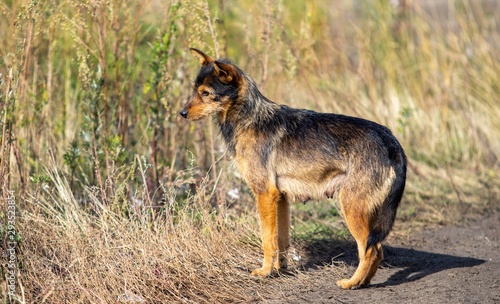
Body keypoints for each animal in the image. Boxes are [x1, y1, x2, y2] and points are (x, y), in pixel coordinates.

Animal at [180, 48, 406, 290]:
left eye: (206, 93)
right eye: (194, 91)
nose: (181, 113)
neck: (249, 119)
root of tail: (391, 140)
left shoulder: (264, 194)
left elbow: (267, 240)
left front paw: (265, 272)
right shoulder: (280, 198)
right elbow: (281, 240)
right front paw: (280, 269)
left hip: (351, 209)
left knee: (370, 250)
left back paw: (350, 283)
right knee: (378, 251)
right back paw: (362, 283)